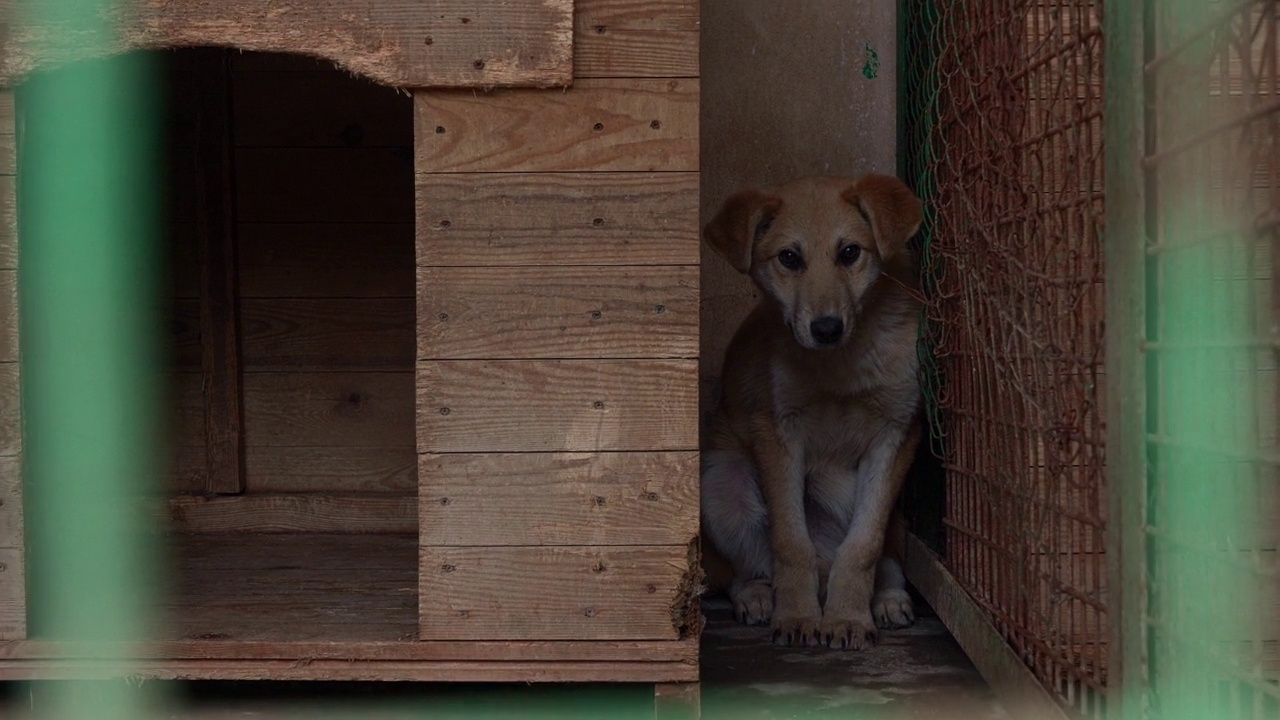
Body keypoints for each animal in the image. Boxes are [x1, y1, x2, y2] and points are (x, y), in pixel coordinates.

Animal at [696, 170, 926, 648]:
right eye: (789, 258)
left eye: (850, 252)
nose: (825, 328)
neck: (840, 364)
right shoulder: (777, 431)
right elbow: (789, 543)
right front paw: (799, 615)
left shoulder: (896, 434)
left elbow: (863, 545)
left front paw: (848, 617)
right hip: (722, 483)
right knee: (745, 569)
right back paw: (758, 598)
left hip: (898, 517)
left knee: (883, 557)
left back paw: (888, 599)